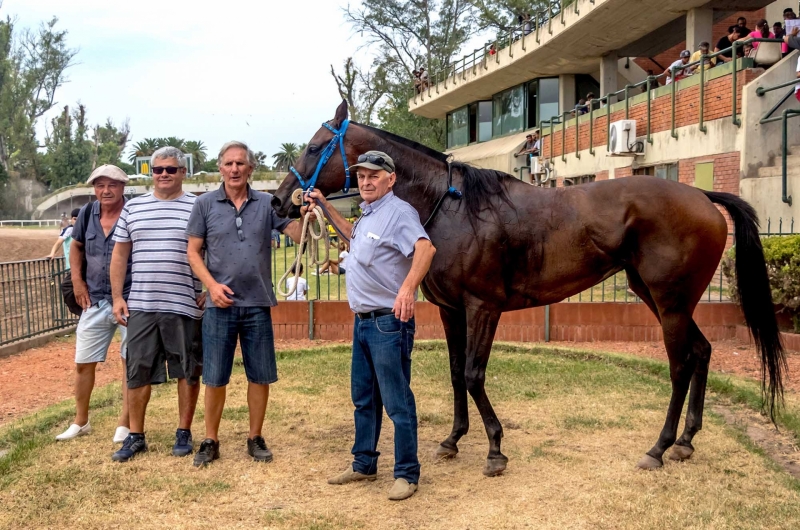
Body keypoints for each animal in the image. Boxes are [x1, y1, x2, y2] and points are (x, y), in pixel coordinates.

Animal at [272, 100, 784, 474]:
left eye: (316, 147)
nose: (280, 201)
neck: (451, 207)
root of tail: (702, 196)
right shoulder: (451, 310)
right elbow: (456, 373)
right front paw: (453, 439)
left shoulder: (483, 307)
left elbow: (474, 375)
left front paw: (495, 448)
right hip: (657, 296)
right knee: (701, 352)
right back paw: (686, 442)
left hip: (670, 300)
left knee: (680, 365)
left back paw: (658, 447)